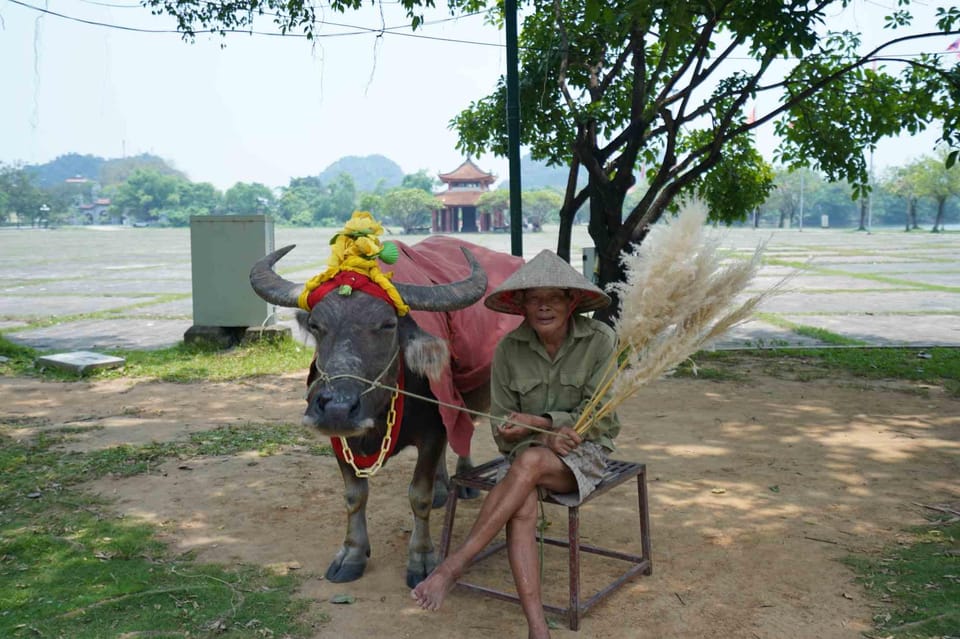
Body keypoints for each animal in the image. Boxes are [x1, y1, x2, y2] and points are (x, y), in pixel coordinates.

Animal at [248, 238, 516, 588]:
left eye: (388, 325)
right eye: (316, 325)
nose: (337, 408)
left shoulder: (433, 431)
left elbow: (419, 495)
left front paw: (421, 560)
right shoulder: (338, 439)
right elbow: (354, 495)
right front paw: (352, 554)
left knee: (465, 430)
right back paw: (443, 488)